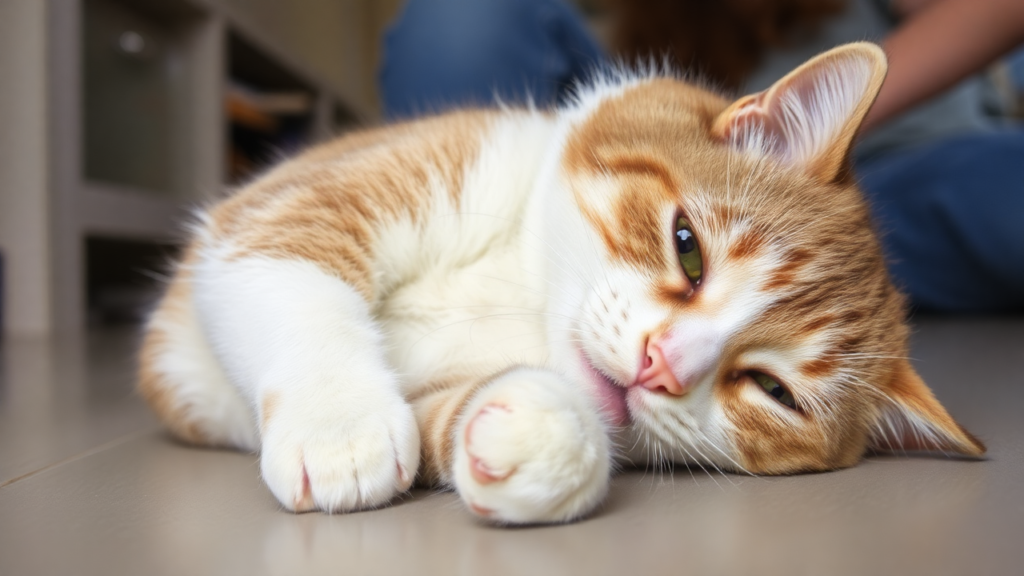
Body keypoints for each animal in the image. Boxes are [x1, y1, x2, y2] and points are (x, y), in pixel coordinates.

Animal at [138, 42, 983, 522]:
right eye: (688, 248)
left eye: (775, 392)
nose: (661, 364)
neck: (522, 286)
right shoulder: (291, 205)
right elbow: (296, 277)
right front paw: (337, 424)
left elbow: (460, 415)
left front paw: (541, 437)